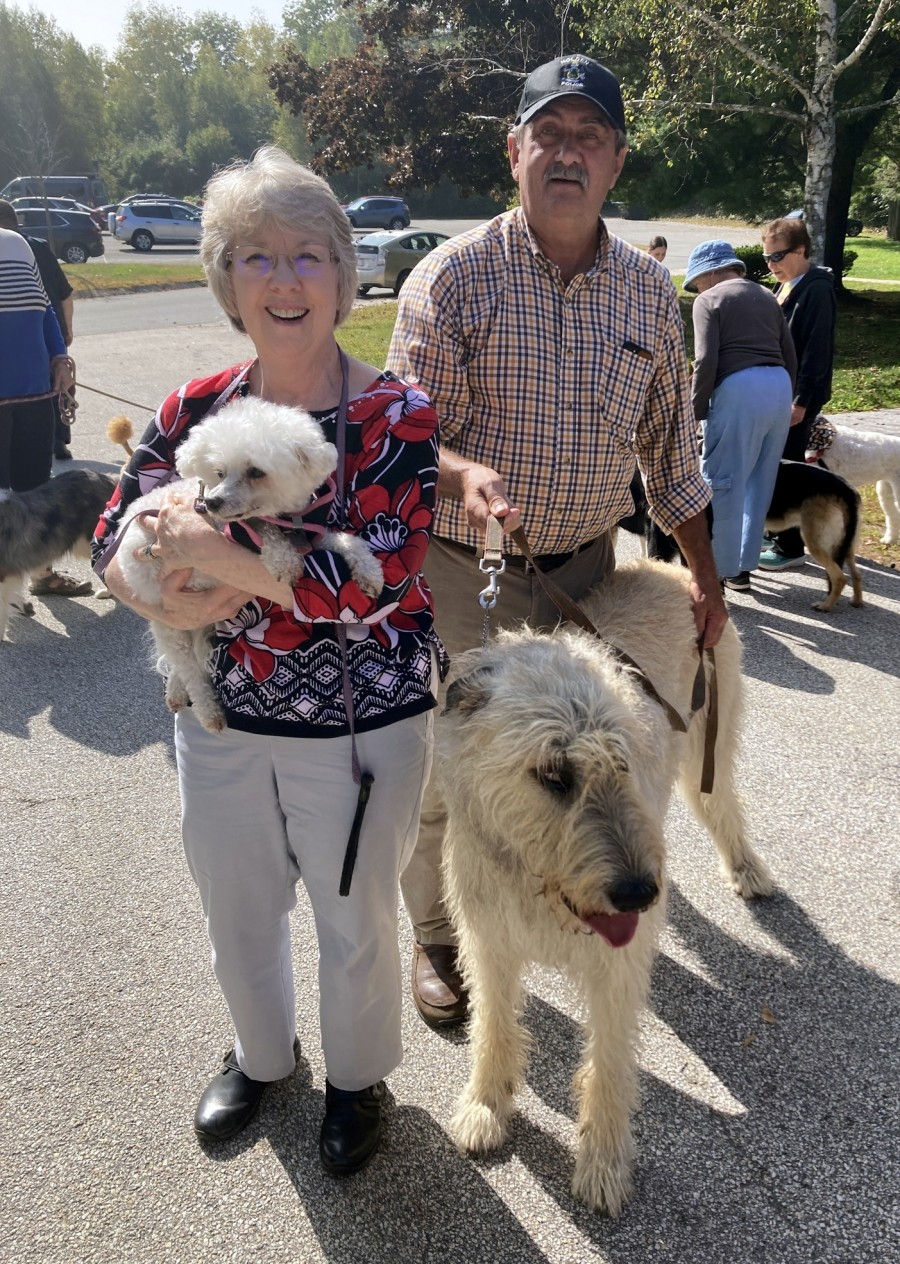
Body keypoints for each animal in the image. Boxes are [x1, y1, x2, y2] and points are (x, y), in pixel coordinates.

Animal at [114, 394, 381, 733]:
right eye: (219, 471)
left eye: (256, 471)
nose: (211, 503)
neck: (285, 521)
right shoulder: (239, 532)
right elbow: (266, 534)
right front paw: (284, 561)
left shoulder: (310, 537)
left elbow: (347, 541)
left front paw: (370, 571)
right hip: (168, 620)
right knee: (190, 670)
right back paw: (207, 712)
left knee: (185, 661)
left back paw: (175, 690)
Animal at [439, 561, 768, 1213]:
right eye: (552, 774)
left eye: (624, 762)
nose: (640, 893)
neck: (537, 889)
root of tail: (671, 569)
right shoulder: (489, 944)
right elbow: (492, 1022)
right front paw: (486, 1104)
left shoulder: (616, 968)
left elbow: (610, 1062)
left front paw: (604, 1160)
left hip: (705, 746)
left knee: (720, 803)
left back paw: (745, 869)